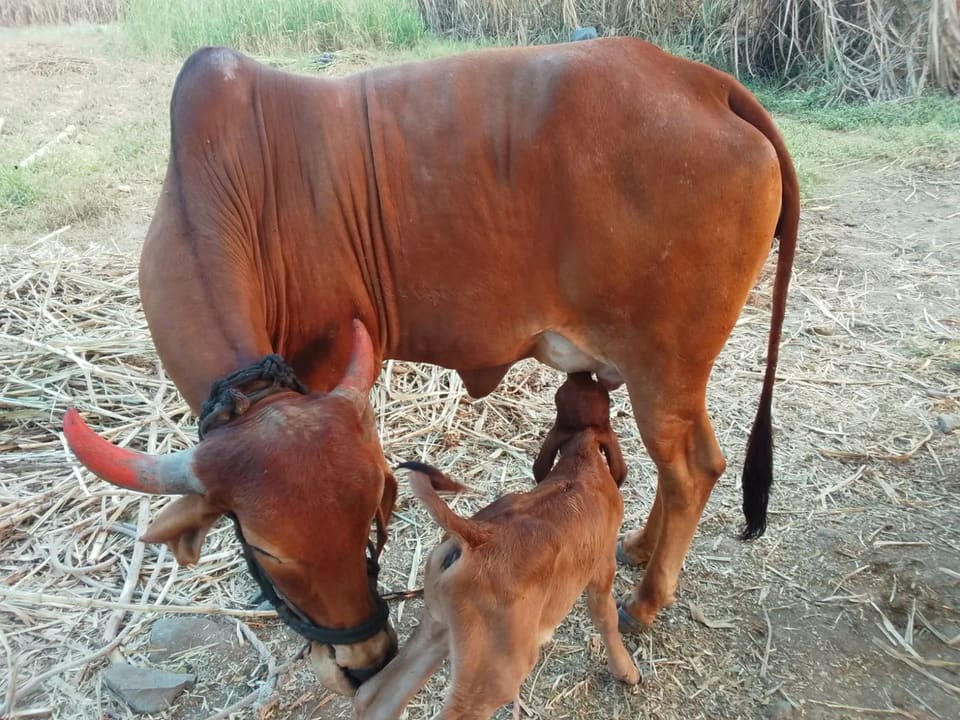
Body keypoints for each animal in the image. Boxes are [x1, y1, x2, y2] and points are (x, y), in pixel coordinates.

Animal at [354, 372, 639, 720]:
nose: (582, 372)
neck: (581, 460)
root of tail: (475, 535)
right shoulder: (602, 568)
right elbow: (606, 617)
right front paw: (626, 671)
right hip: (496, 670)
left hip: (440, 628)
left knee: (373, 695)